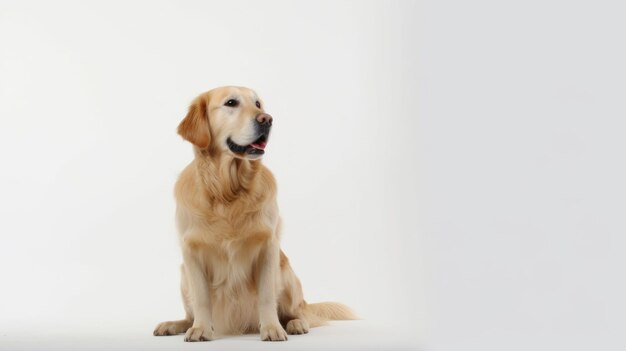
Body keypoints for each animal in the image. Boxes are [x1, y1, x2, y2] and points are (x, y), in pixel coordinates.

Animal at [153, 86, 354, 342]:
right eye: (231, 103)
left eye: (258, 104)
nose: (267, 119)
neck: (227, 191)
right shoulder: (191, 252)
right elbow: (202, 299)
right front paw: (200, 328)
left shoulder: (268, 247)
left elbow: (266, 295)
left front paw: (271, 328)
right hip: (183, 275)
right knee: (188, 314)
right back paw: (174, 324)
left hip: (286, 272)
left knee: (298, 311)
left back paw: (295, 323)